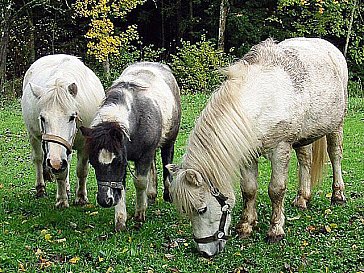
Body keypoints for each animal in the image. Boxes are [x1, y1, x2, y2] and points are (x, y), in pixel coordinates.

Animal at [21, 53, 104, 206]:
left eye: (72, 117)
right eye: (42, 118)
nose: (55, 162)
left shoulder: (85, 144)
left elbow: (82, 170)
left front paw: (81, 197)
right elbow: (60, 172)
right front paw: (62, 200)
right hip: (34, 137)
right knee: (38, 159)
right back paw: (40, 188)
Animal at [80, 61, 181, 230]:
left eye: (117, 162)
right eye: (93, 163)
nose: (105, 200)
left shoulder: (141, 156)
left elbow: (140, 182)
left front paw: (139, 216)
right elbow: (121, 184)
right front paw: (120, 220)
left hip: (169, 142)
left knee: (166, 162)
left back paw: (167, 195)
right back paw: (151, 195)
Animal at [166, 37, 348, 256]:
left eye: (202, 209)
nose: (204, 252)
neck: (260, 101)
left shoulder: (280, 149)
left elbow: (276, 190)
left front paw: (275, 230)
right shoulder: (248, 154)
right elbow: (249, 189)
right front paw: (246, 226)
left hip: (336, 126)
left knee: (335, 156)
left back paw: (338, 195)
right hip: (303, 137)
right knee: (305, 161)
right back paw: (302, 199)